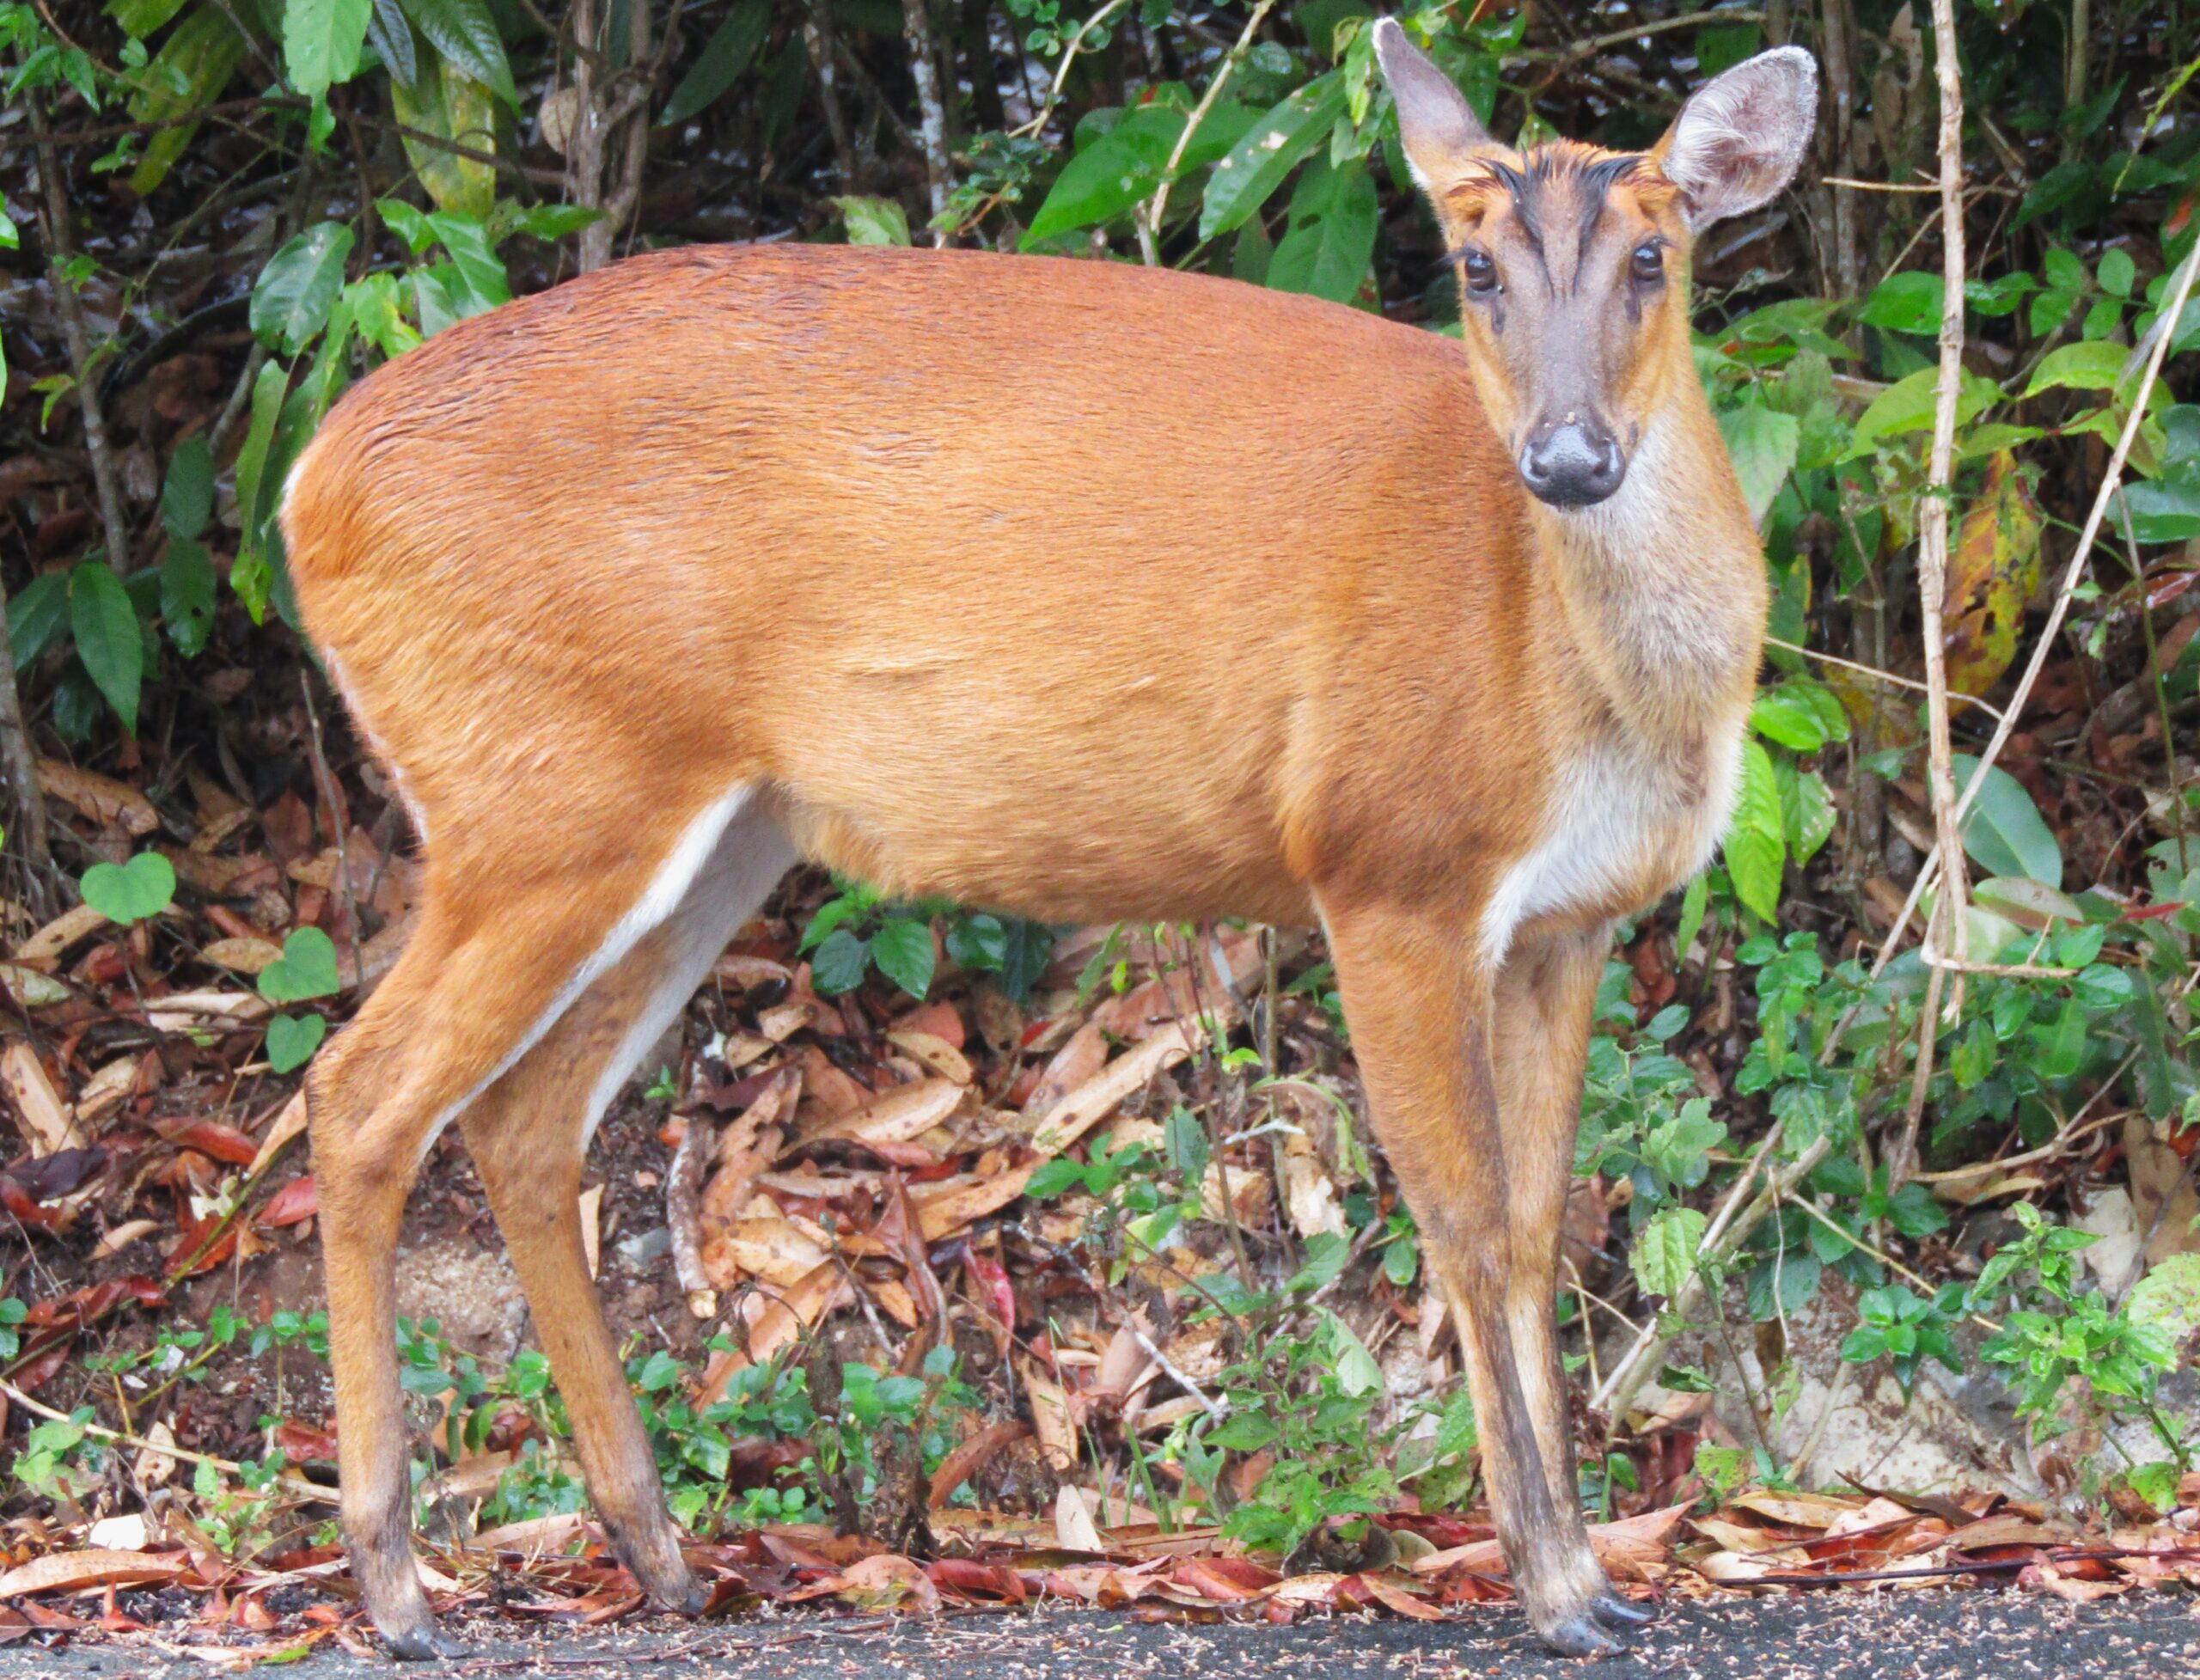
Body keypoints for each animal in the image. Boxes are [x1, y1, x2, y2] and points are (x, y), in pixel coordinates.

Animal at [275, 19, 1812, 1662]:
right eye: (1474, 268)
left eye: (1654, 254)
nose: (1568, 457)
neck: (1566, 674)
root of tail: (311, 482)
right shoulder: (1390, 861)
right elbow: (1461, 1217)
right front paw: (1553, 1587)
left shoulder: (1569, 918)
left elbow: (1537, 1225)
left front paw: (1590, 1570)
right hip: (539, 796)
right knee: (362, 1096)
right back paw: (395, 1585)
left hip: (702, 824)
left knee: (523, 1114)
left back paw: (661, 1553)